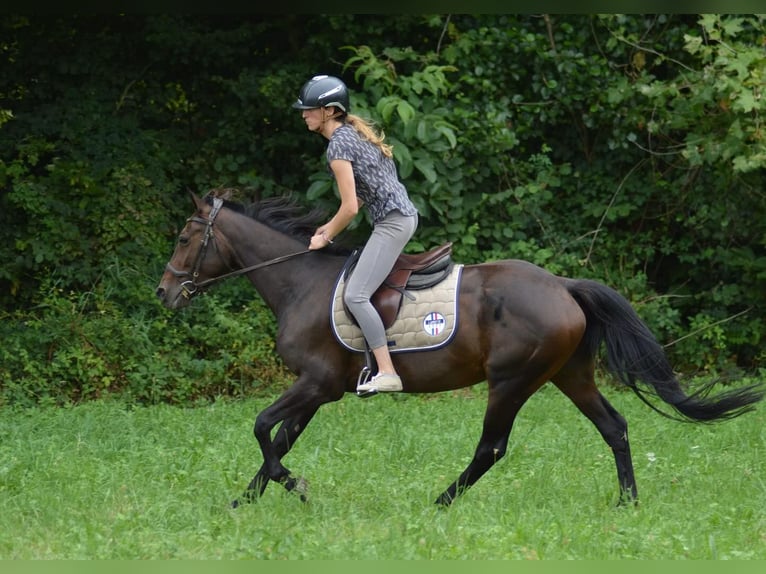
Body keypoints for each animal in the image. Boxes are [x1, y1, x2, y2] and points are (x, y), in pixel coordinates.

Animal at [158, 190, 766, 508]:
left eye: (186, 238)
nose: (164, 292)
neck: (299, 284)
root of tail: (563, 285)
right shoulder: (318, 391)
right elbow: (279, 438)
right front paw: (245, 502)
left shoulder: (316, 383)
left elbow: (263, 428)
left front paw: (295, 488)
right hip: (570, 374)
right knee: (614, 427)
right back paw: (627, 502)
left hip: (513, 381)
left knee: (491, 447)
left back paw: (440, 502)